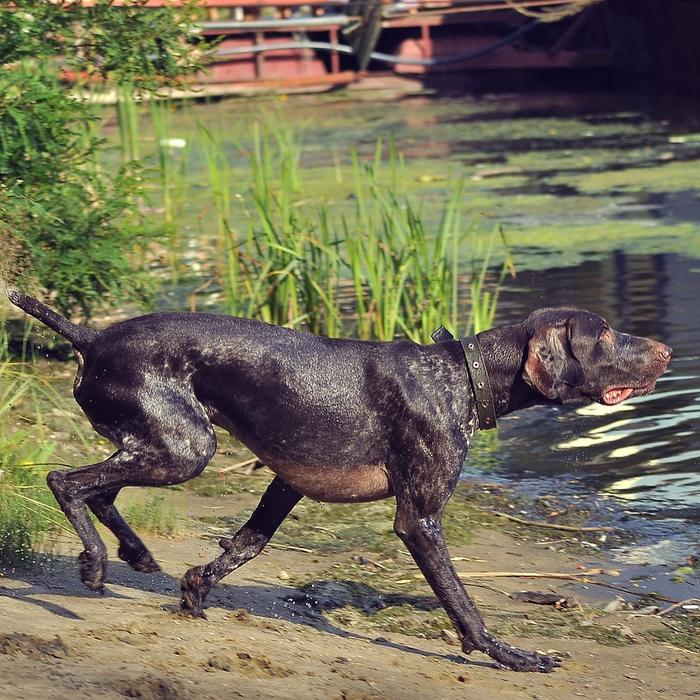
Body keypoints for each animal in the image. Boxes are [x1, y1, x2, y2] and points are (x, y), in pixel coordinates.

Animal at [6, 290, 672, 672]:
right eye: (604, 333)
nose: (667, 351)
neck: (459, 376)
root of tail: (92, 337)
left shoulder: (287, 483)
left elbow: (244, 545)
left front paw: (195, 589)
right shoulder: (418, 519)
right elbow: (463, 605)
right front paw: (508, 655)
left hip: (162, 443)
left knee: (102, 491)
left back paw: (136, 554)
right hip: (184, 449)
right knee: (66, 480)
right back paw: (96, 560)